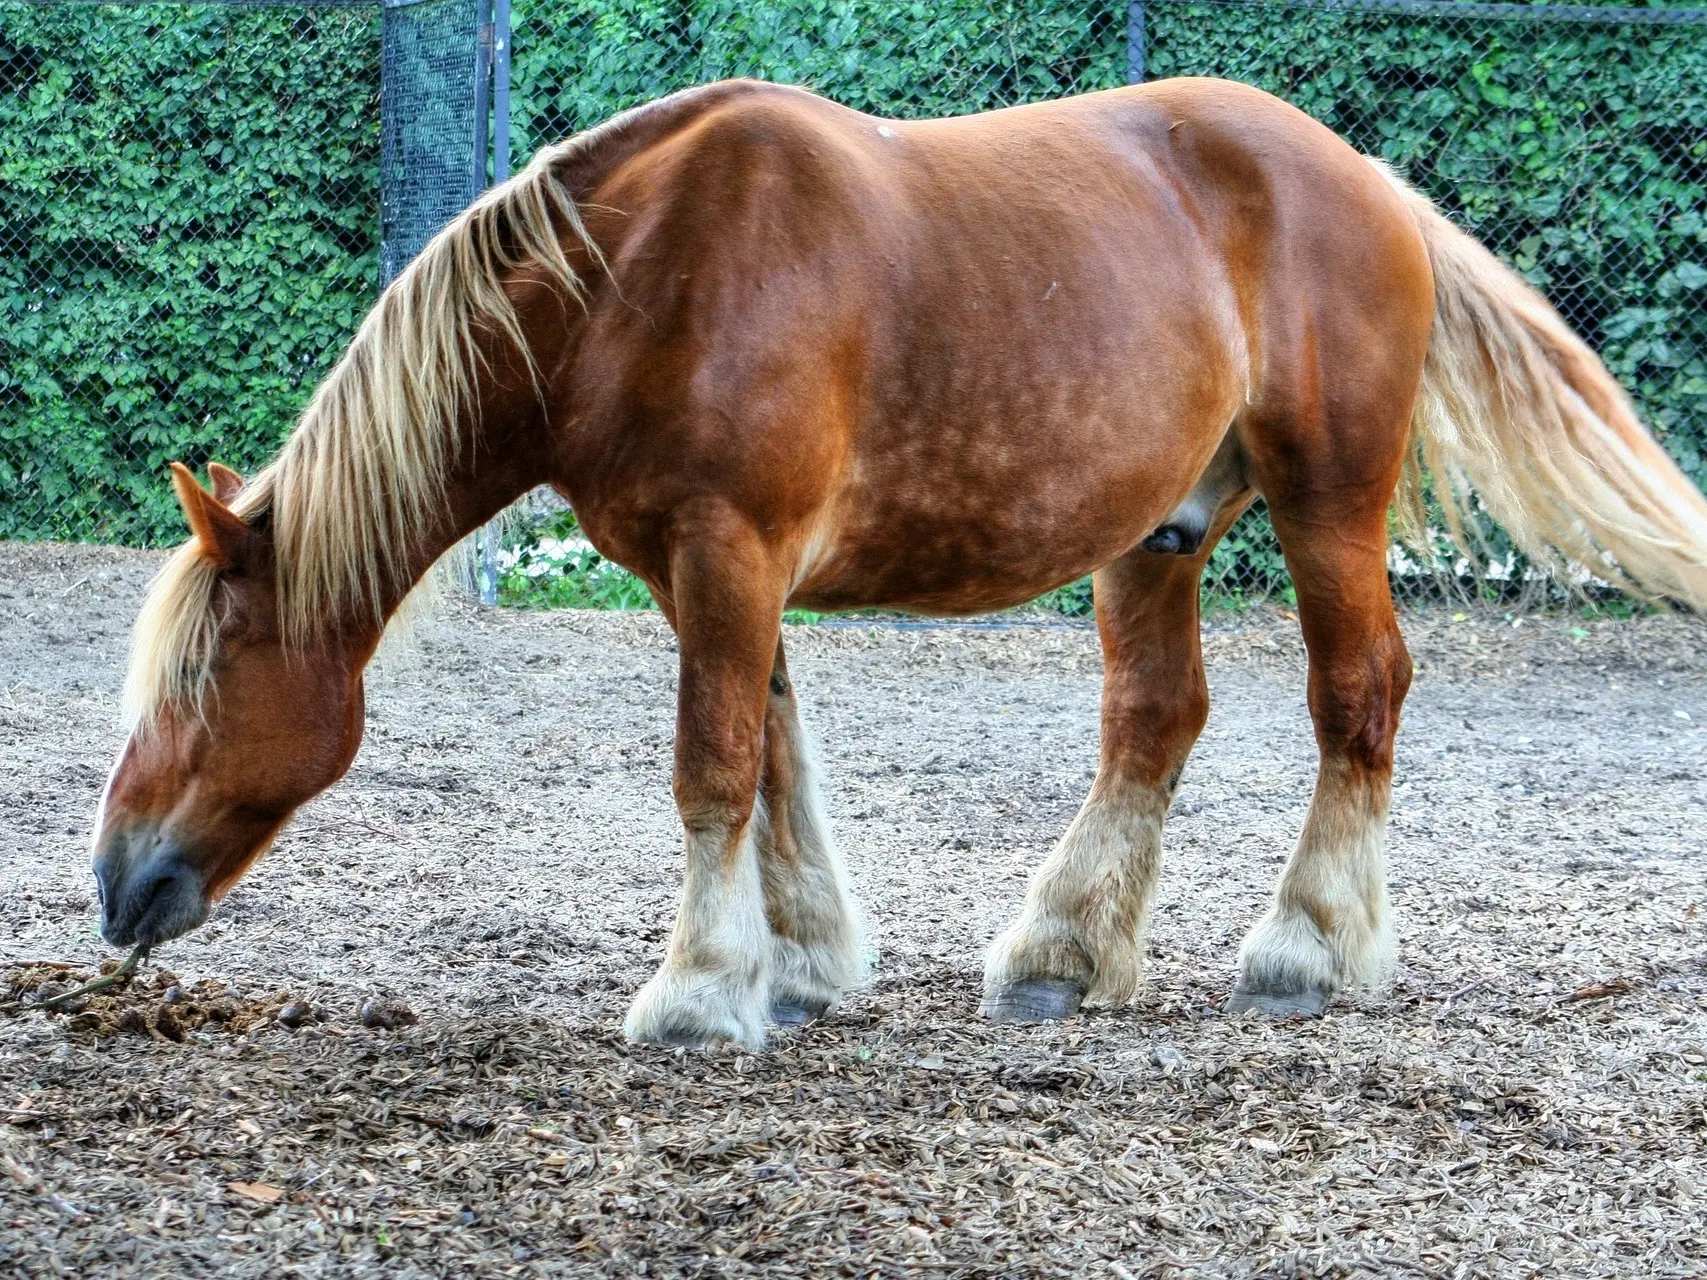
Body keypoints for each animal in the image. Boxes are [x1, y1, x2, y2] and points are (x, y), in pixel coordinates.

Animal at [90, 75, 1707, 1044]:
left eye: (205, 675)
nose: (113, 884)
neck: (632, 283)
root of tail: (1364, 175)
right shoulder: (715, 574)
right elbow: (774, 761)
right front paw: (798, 965)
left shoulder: (726, 554)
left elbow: (714, 767)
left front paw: (697, 989)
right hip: (1156, 536)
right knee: (1153, 719)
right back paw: (1060, 954)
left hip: (1326, 504)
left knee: (1355, 693)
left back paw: (1306, 949)